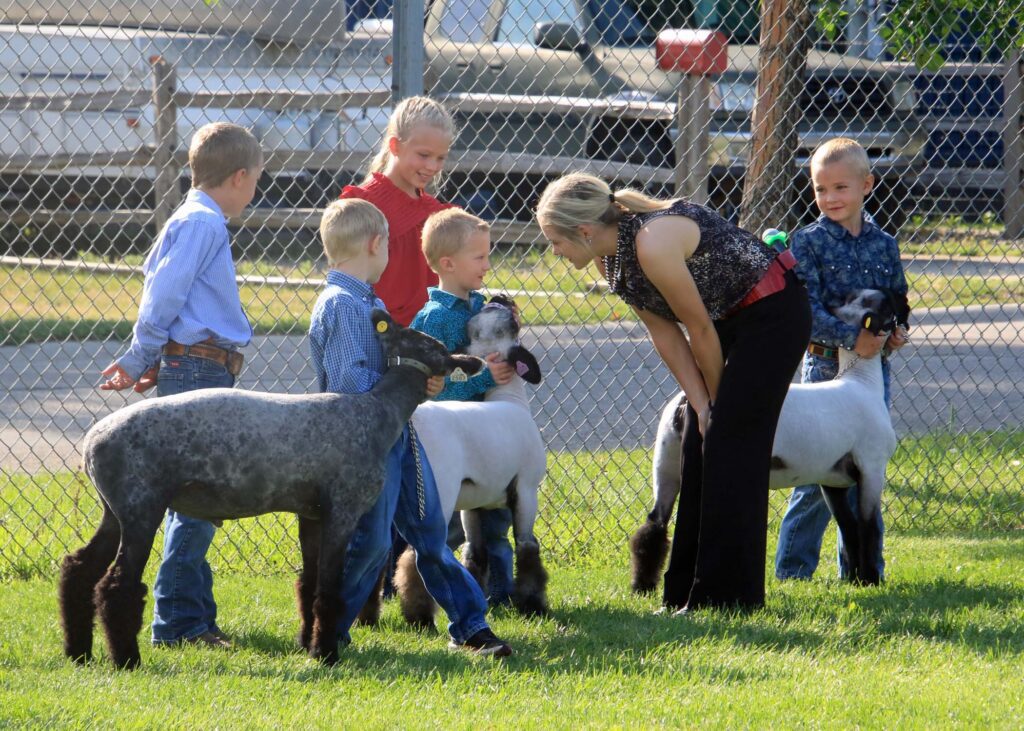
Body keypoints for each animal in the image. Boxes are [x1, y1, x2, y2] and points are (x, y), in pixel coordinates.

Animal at [58, 310, 483, 669]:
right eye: (434, 346)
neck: (378, 412)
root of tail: (91, 443)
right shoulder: (343, 508)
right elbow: (330, 588)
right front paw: (326, 655)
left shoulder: (311, 514)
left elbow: (308, 584)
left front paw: (307, 645)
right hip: (140, 505)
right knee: (117, 585)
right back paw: (126, 660)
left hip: (113, 509)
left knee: (78, 568)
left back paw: (78, 652)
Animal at [631, 289, 910, 591]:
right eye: (881, 301)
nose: (904, 302)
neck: (861, 381)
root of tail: (684, 403)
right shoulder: (871, 466)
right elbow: (867, 526)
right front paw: (870, 579)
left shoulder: (831, 478)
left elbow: (848, 526)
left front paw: (855, 580)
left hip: (666, 459)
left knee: (655, 522)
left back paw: (642, 587)